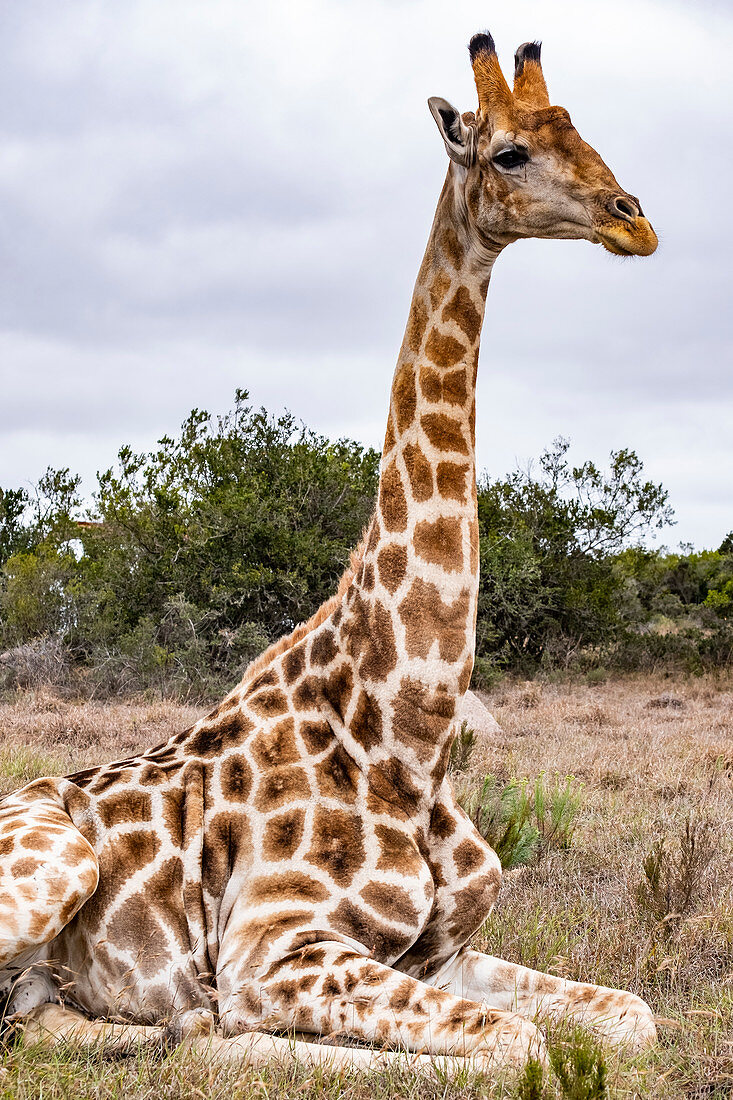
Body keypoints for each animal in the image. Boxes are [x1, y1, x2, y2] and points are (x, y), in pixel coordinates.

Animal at [0, 34, 655, 1073]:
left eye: (581, 129)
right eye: (508, 152)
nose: (635, 222)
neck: (404, 731)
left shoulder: (445, 952)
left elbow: (631, 1016)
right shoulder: (275, 949)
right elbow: (517, 1046)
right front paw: (217, 1030)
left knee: (31, 1015)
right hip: (55, 868)